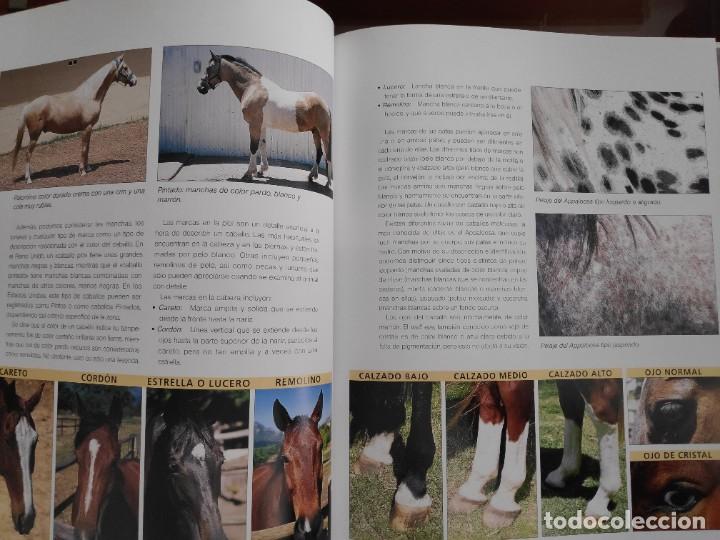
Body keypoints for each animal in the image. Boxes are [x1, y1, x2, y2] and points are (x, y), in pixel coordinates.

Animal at [11, 54, 138, 184]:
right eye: (125, 67)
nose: (135, 80)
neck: (89, 97)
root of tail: (27, 107)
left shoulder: (89, 129)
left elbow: (87, 148)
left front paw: (88, 167)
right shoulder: (87, 128)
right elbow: (84, 148)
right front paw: (82, 171)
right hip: (34, 135)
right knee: (27, 154)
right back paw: (28, 179)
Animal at [197, 51, 333, 187]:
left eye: (208, 68)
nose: (200, 88)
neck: (252, 87)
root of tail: (325, 104)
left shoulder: (254, 125)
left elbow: (253, 147)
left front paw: (249, 173)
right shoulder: (262, 125)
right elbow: (262, 145)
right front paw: (262, 170)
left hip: (323, 131)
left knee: (328, 152)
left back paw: (328, 182)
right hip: (315, 131)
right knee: (319, 152)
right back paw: (312, 175)